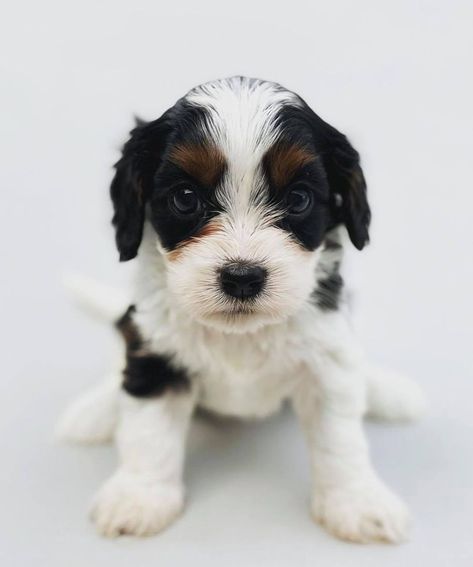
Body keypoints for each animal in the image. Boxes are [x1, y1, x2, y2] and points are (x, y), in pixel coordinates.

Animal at [57, 77, 426, 544]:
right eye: (185, 198)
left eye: (299, 198)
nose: (242, 277)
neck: (242, 333)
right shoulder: (156, 351)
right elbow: (149, 429)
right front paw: (140, 497)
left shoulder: (327, 360)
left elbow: (339, 437)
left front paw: (356, 501)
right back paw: (96, 409)